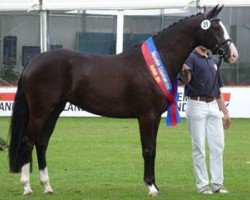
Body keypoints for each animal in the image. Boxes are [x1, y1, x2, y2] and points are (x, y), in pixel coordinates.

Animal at [8, 5, 238, 196]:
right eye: (215, 28)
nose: (233, 54)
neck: (154, 64)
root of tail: (32, 63)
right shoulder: (146, 116)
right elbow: (147, 150)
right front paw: (151, 187)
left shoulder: (155, 118)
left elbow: (153, 149)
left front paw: (155, 185)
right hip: (40, 111)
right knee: (27, 141)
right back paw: (27, 187)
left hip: (54, 110)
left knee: (42, 142)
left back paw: (47, 186)